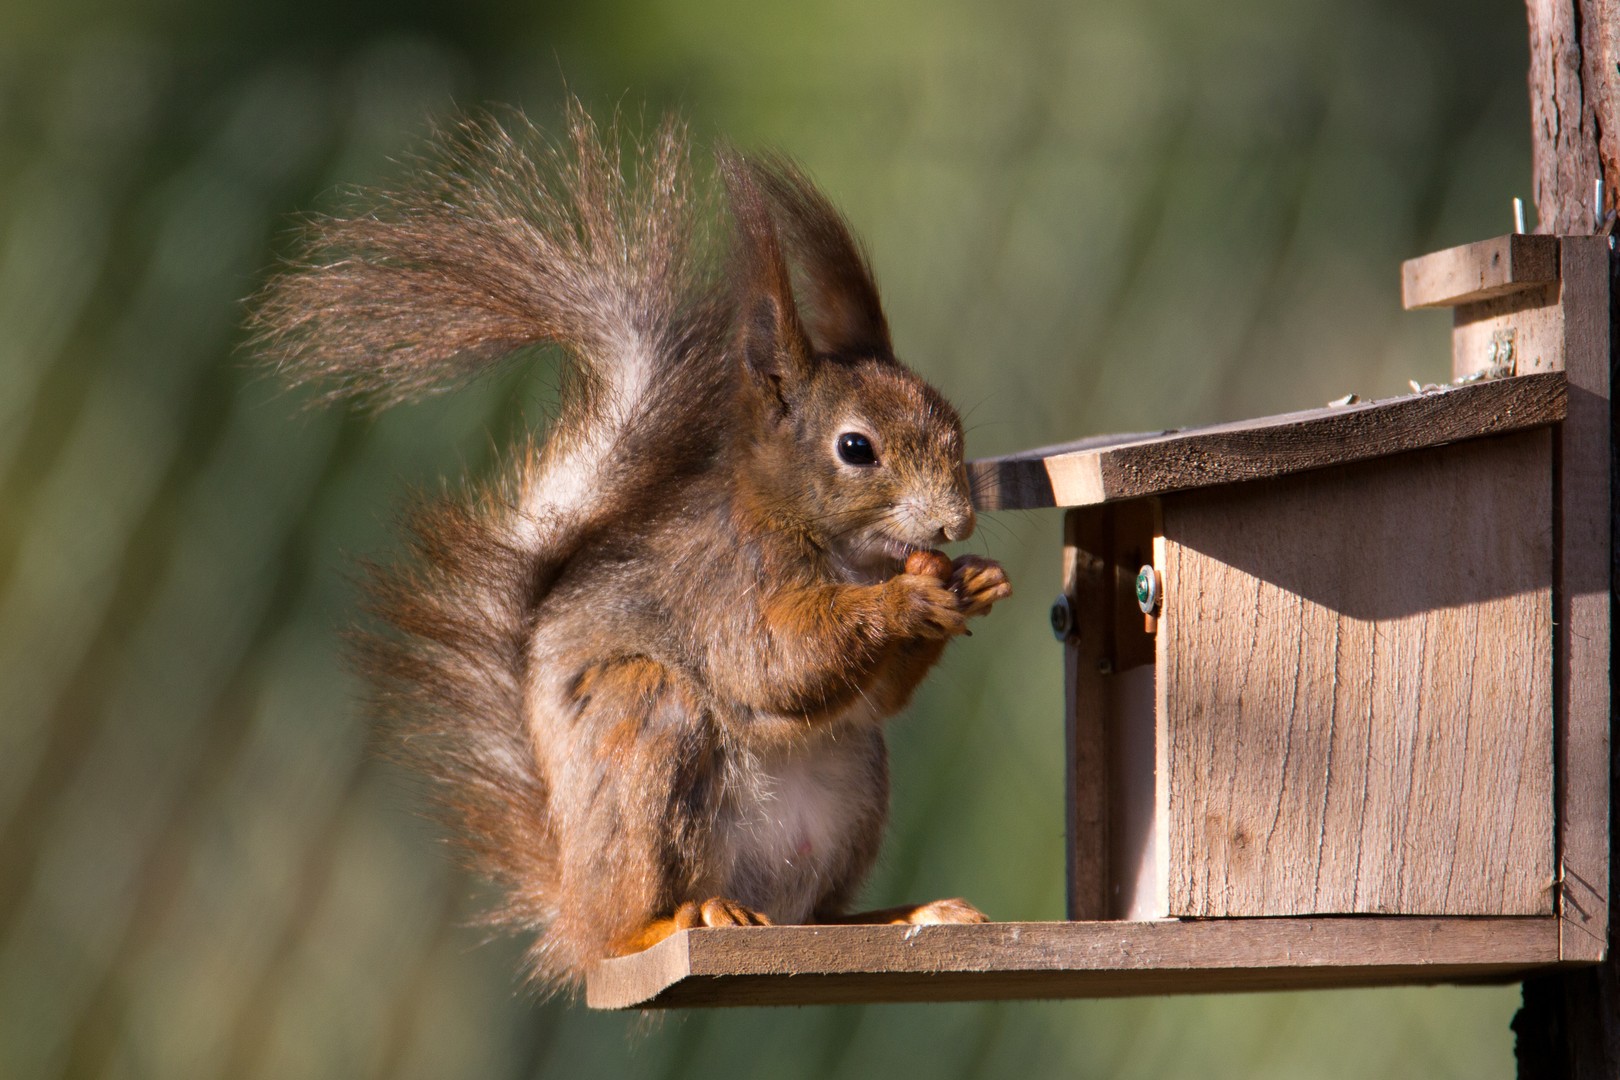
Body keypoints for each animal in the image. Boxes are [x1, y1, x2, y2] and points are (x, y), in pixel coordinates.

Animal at [249, 105, 1010, 990]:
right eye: (856, 448)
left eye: (949, 419)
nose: (955, 523)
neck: (839, 548)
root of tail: (572, 903)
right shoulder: (724, 583)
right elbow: (772, 660)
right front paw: (908, 598)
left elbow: (877, 695)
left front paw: (975, 581)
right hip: (644, 723)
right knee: (626, 924)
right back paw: (677, 921)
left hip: (854, 789)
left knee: (820, 917)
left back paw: (907, 915)